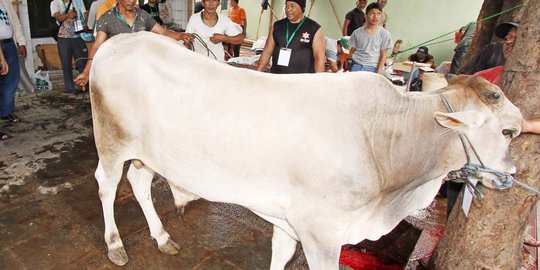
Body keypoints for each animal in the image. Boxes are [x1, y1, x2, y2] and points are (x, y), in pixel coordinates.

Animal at [89, 31, 524, 268]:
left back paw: (162, 237)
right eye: (508, 132)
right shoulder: (321, 231)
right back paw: (115, 245)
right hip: (112, 142)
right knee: (107, 185)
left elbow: (280, 257)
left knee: (140, 182)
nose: (513, 173)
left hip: (149, 152)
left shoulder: (289, 221)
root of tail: (117, 42)